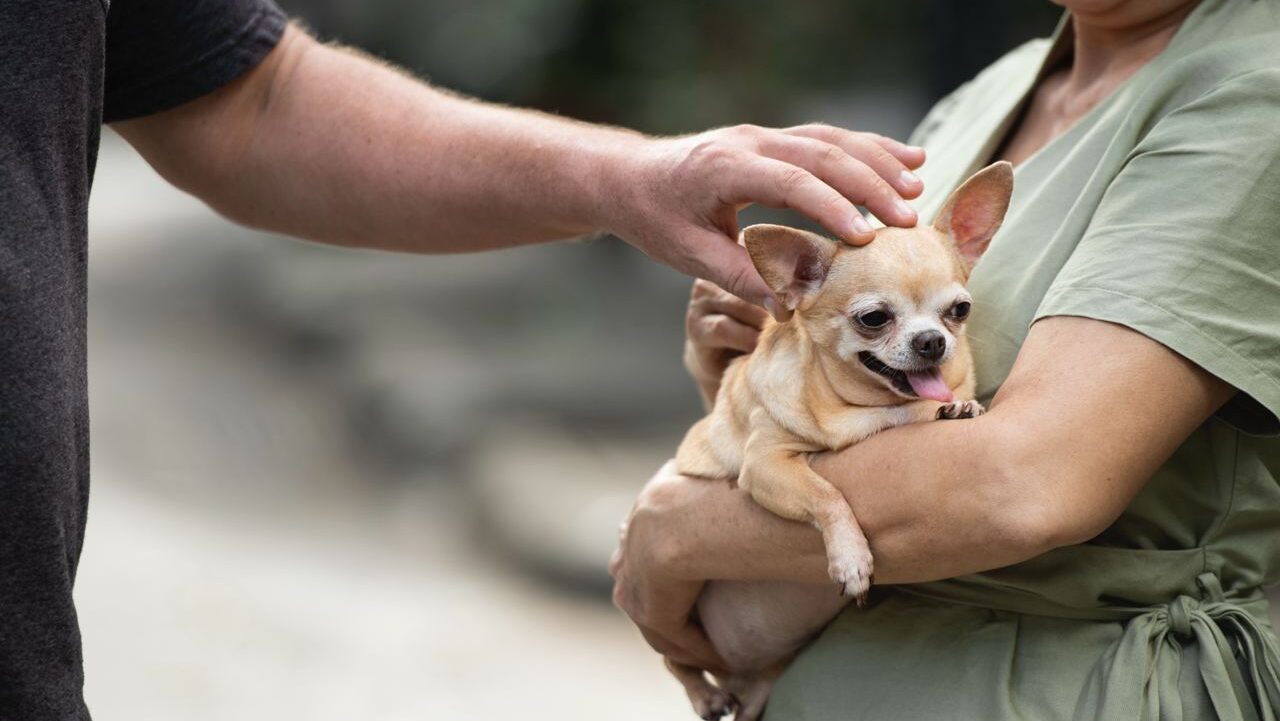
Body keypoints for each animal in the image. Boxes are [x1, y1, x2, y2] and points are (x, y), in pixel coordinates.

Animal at [665, 163, 1013, 721]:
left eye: (959, 310)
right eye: (874, 318)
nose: (932, 340)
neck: (869, 410)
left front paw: (955, 407)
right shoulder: (766, 463)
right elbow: (825, 493)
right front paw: (851, 558)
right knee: (676, 662)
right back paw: (706, 694)